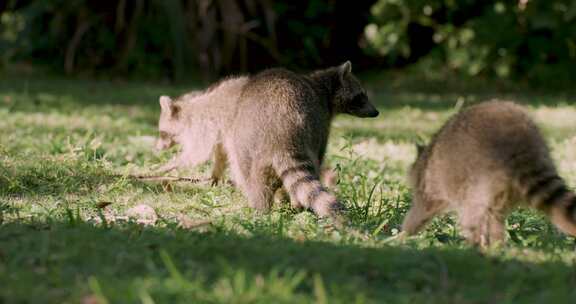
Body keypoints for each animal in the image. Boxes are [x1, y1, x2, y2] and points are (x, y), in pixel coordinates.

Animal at [224, 61, 378, 220]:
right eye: (361, 96)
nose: (376, 112)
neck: (321, 87)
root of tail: (280, 137)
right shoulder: (321, 120)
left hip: (247, 144)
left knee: (255, 183)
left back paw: (260, 210)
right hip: (308, 131)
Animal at [402, 100, 576, 247]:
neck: (424, 158)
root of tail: (520, 143)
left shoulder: (427, 185)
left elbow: (420, 211)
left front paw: (403, 234)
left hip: (479, 178)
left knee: (471, 217)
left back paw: (475, 247)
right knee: (494, 219)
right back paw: (496, 246)